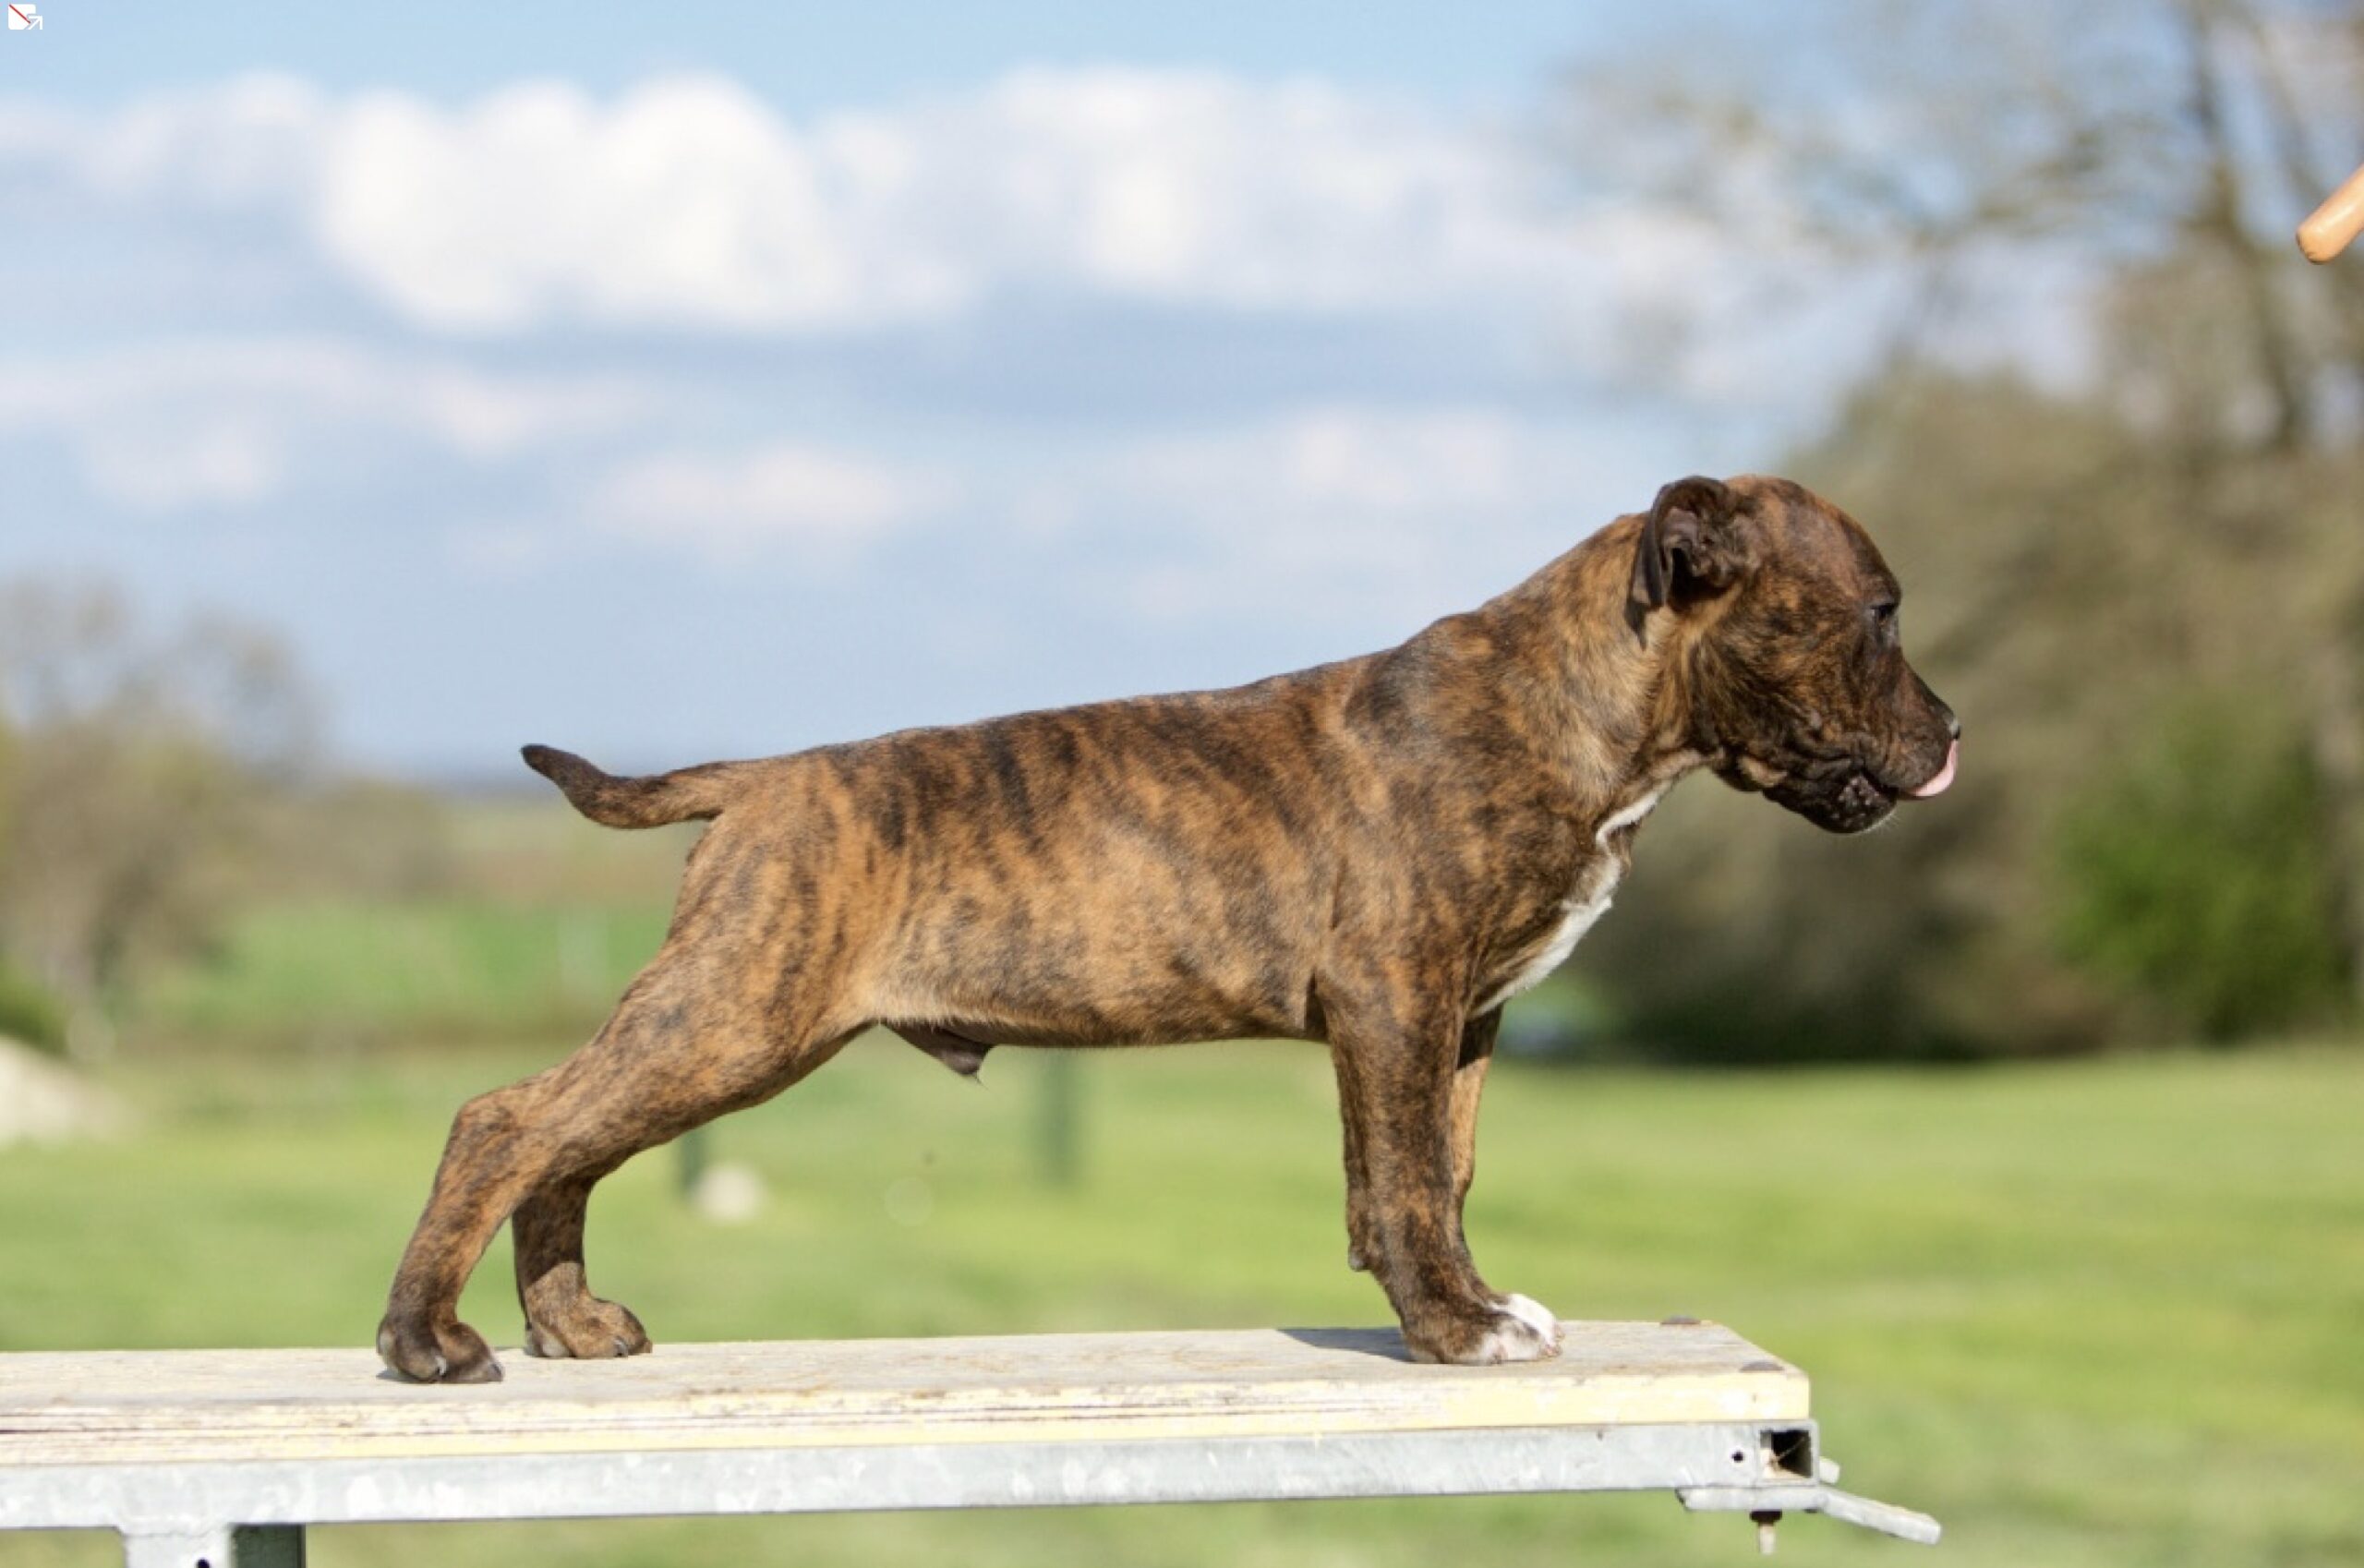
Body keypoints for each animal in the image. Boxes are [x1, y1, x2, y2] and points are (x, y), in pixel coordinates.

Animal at [377, 473, 1958, 1382]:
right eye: (1878, 611)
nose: (1953, 731)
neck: (1577, 703)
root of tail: (766, 776)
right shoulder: (1397, 995)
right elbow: (1402, 1182)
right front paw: (1452, 1331)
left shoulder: (1466, 1018)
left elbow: (1437, 1177)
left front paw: (1461, 1300)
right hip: (733, 1014)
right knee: (509, 1120)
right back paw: (426, 1339)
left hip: (722, 1023)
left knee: (567, 1140)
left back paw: (571, 1324)